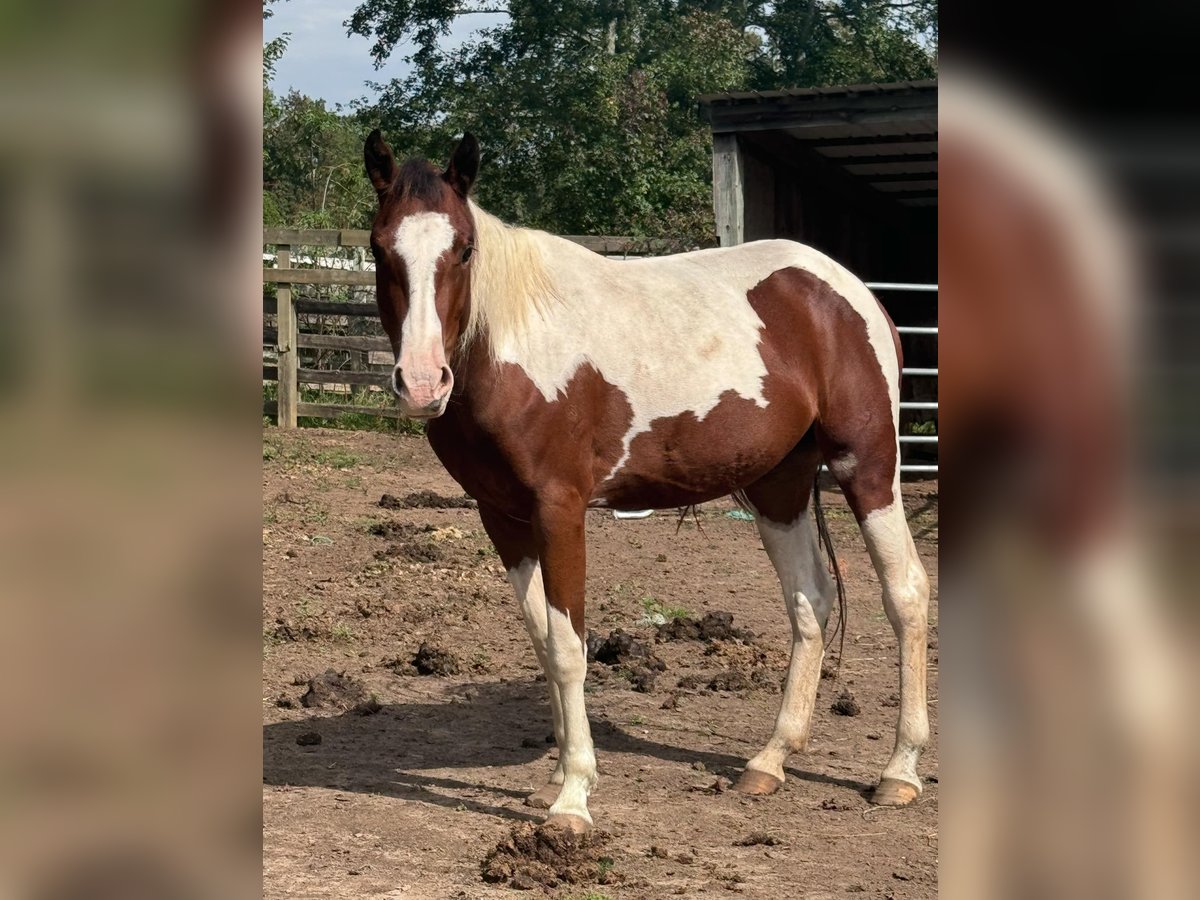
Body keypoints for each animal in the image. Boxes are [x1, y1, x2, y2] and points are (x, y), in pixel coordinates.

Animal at [360, 130, 931, 835]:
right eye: (379, 247)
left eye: (464, 247)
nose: (421, 383)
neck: (511, 345)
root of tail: (851, 291)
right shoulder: (503, 517)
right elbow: (544, 642)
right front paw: (554, 779)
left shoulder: (559, 510)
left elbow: (570, 646)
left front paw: (574, 797)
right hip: (779, 484)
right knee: (810, 601)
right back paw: (770, 760)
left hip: (867, 466)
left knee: (905, 594)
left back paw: (899, 772)